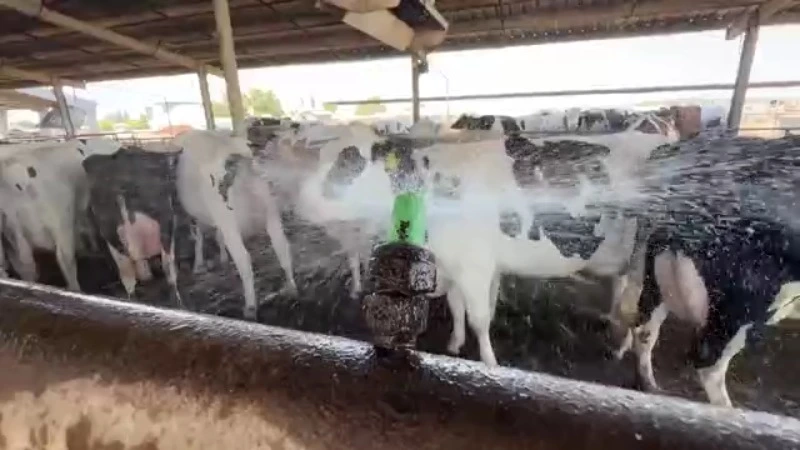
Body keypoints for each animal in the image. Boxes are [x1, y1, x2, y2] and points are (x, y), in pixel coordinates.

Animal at [172, 130, 296, 320]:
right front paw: (222, 258)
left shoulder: (204, 217)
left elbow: (199, 237)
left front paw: (199, 265)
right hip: (271, 213)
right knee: (282, 247)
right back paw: (291, 287)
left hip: (227, 217)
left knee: (244, 259)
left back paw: (250, 307)